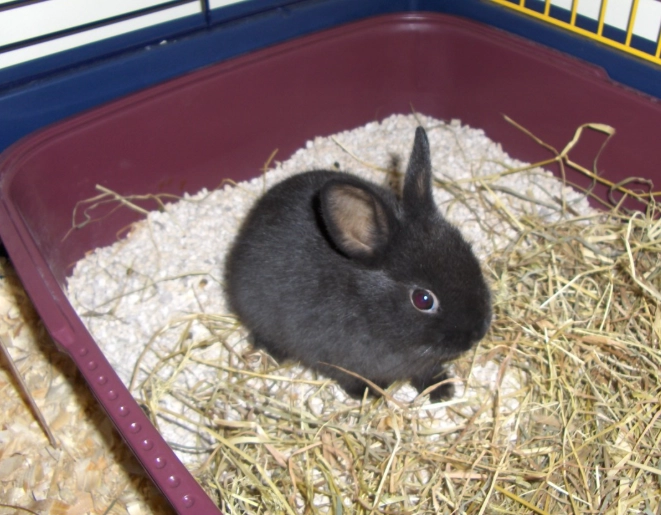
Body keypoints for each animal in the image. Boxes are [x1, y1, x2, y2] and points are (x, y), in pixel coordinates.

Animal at [224, 127, 491, 400]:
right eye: (423, 300)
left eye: (469, 252)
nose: (477, 332)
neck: (367, 307)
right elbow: (350, 377)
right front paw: (370, 393)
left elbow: (427, 372)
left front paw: (443, 389)